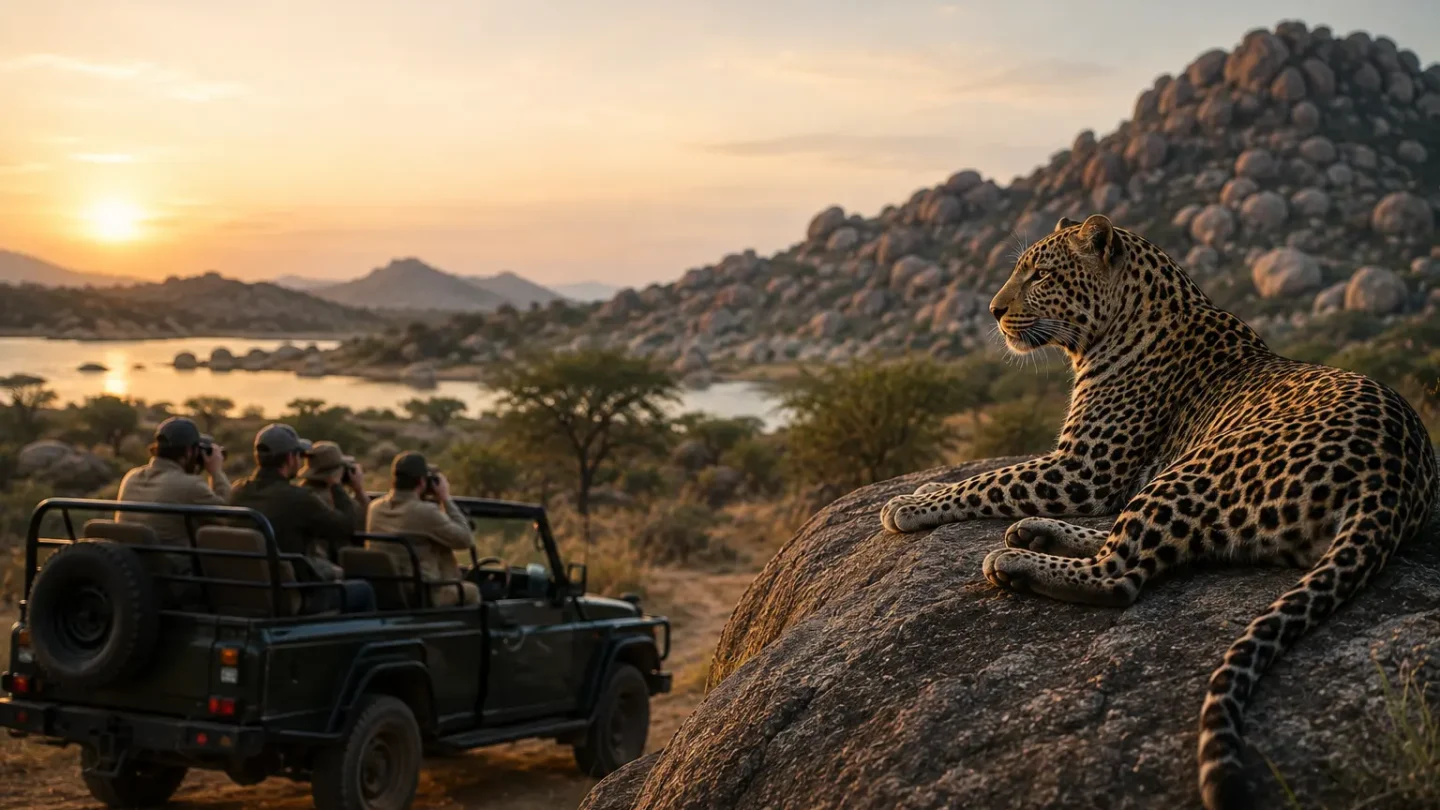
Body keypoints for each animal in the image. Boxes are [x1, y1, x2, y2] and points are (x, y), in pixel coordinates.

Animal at [879, 214, 1438, 810]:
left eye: (1042, 275)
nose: (993, 309)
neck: (1115, 328)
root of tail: (1395, 477)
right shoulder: (1081, 469)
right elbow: (989, 477)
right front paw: (924, 487)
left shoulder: (1084, 469)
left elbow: (990, 480)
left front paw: (910, 503)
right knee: (1149, 543)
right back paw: (1033, 533)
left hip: (1200, 464)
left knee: (1119, 574)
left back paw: (1015, 562)